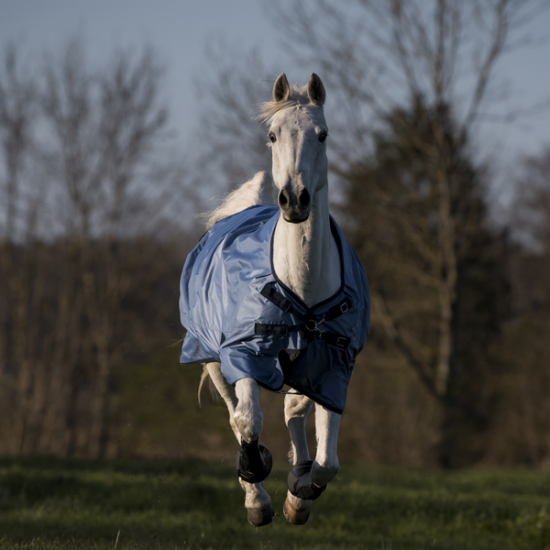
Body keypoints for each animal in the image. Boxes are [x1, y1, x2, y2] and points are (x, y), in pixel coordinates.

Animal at [180, 73, 370, 528]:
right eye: (272, 135)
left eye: (322, 134)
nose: (294, 199)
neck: (300, 288)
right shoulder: (245, 354)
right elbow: (248, 422)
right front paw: (257, 479)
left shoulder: (333, 366)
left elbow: (328, 461)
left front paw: (301, 493)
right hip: (212, 360)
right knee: (236, 416)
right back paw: (257, 497)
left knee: (294, 411)